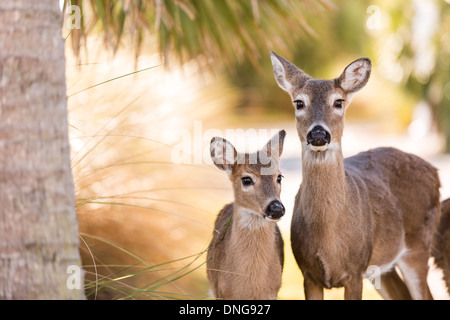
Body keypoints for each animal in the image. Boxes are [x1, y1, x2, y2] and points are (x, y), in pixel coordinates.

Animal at [270, 51, 440, 298]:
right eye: (299, 102)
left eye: (338, 101)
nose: (318, 134)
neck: (329, 238)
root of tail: (435, 172)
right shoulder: (308, 274)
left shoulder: (356, 270)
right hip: (383, 267)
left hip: (418, 247)